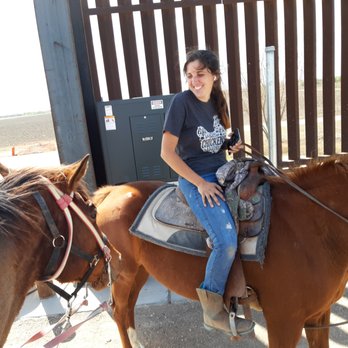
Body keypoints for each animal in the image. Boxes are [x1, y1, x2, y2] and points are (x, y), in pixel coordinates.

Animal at [94, 155, 348, 348]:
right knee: (119, 310)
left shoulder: (318, 315)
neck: (310, 225)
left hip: (140, 271)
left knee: (128, 308)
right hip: (124, 272)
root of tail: (111, 192)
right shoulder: (284, 321)